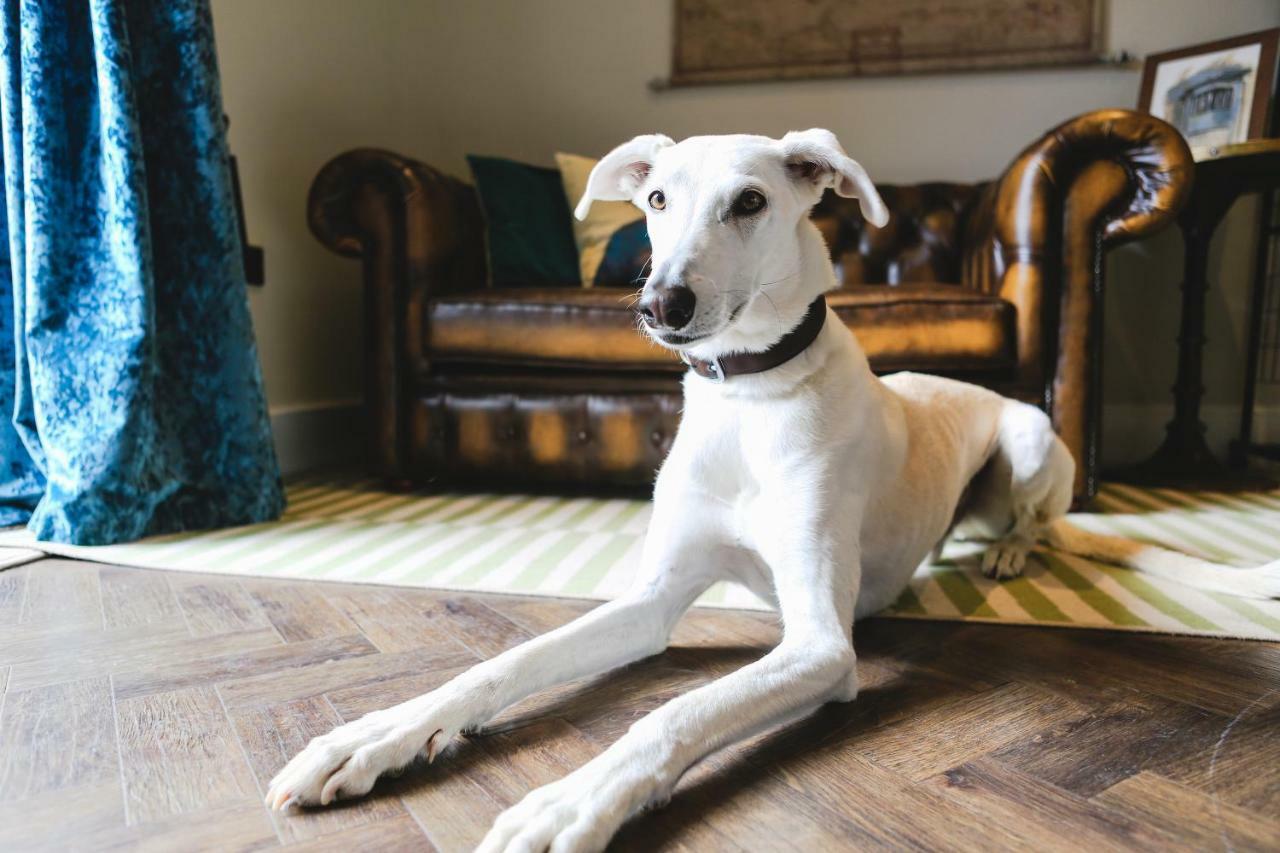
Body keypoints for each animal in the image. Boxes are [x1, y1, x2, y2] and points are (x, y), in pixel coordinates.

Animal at [262, 129, 1280, 845]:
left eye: (751, 200)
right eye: (657, 198)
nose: (659, 305)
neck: (748, 398)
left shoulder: (821, 643)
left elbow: (674, 710)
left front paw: (570, 801)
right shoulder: (653, 598)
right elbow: (501, 665)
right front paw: (376, 734)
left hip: (1030, 437)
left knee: (1036, 518)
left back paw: (1008, 554)